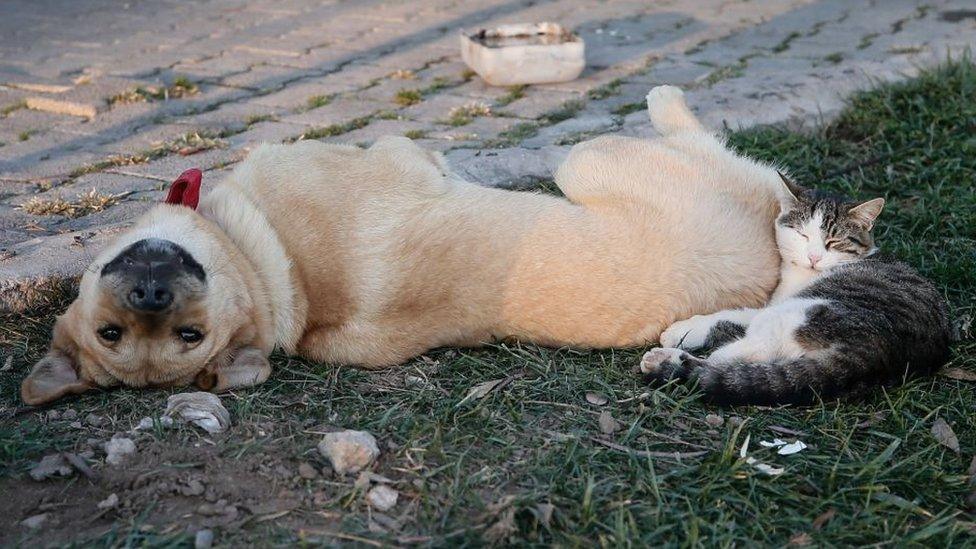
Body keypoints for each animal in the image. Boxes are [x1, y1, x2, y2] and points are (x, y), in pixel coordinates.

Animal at [21, 84, 784, 402]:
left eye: (184, 335)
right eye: (116, 334)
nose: (151, 293)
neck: (271, 270)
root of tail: (767, 266)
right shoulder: (400, 156)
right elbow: (421, 158)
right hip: (589, 161)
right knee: (739, 160)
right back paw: (670, 102)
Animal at [640, 173, 952, 404]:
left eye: (834, 242)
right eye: (802, 235)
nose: (813, 257)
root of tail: (880, 353)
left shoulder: (783, 304)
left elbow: (734, 317)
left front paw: (682, 332)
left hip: (806, 310)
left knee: (738, 355)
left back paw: (666, 360)